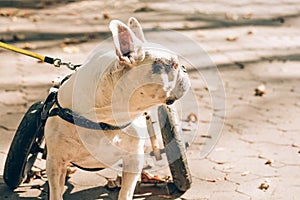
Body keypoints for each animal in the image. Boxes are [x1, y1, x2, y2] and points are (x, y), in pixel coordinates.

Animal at [44, 17, 190, 200]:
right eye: (174, 65)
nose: (185, 68)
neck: (108, 116)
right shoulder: (55, 161)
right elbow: (56, 192)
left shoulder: (133, 158)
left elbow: (126, 191)